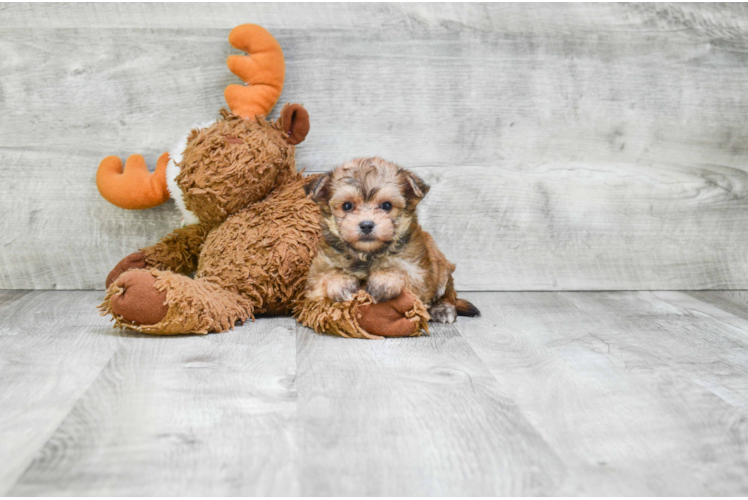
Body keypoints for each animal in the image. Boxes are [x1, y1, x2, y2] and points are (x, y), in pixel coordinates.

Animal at [302, 155, 480, 324]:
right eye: (347, 206)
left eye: (386, 205)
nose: (366, 225)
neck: (367, 254)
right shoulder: (316, 273)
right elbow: (325, 275)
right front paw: (340, 282)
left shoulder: (418, 274)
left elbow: (401, 271)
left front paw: (383, 280)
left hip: (442, 268)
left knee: (448, 294)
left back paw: (443, 309)